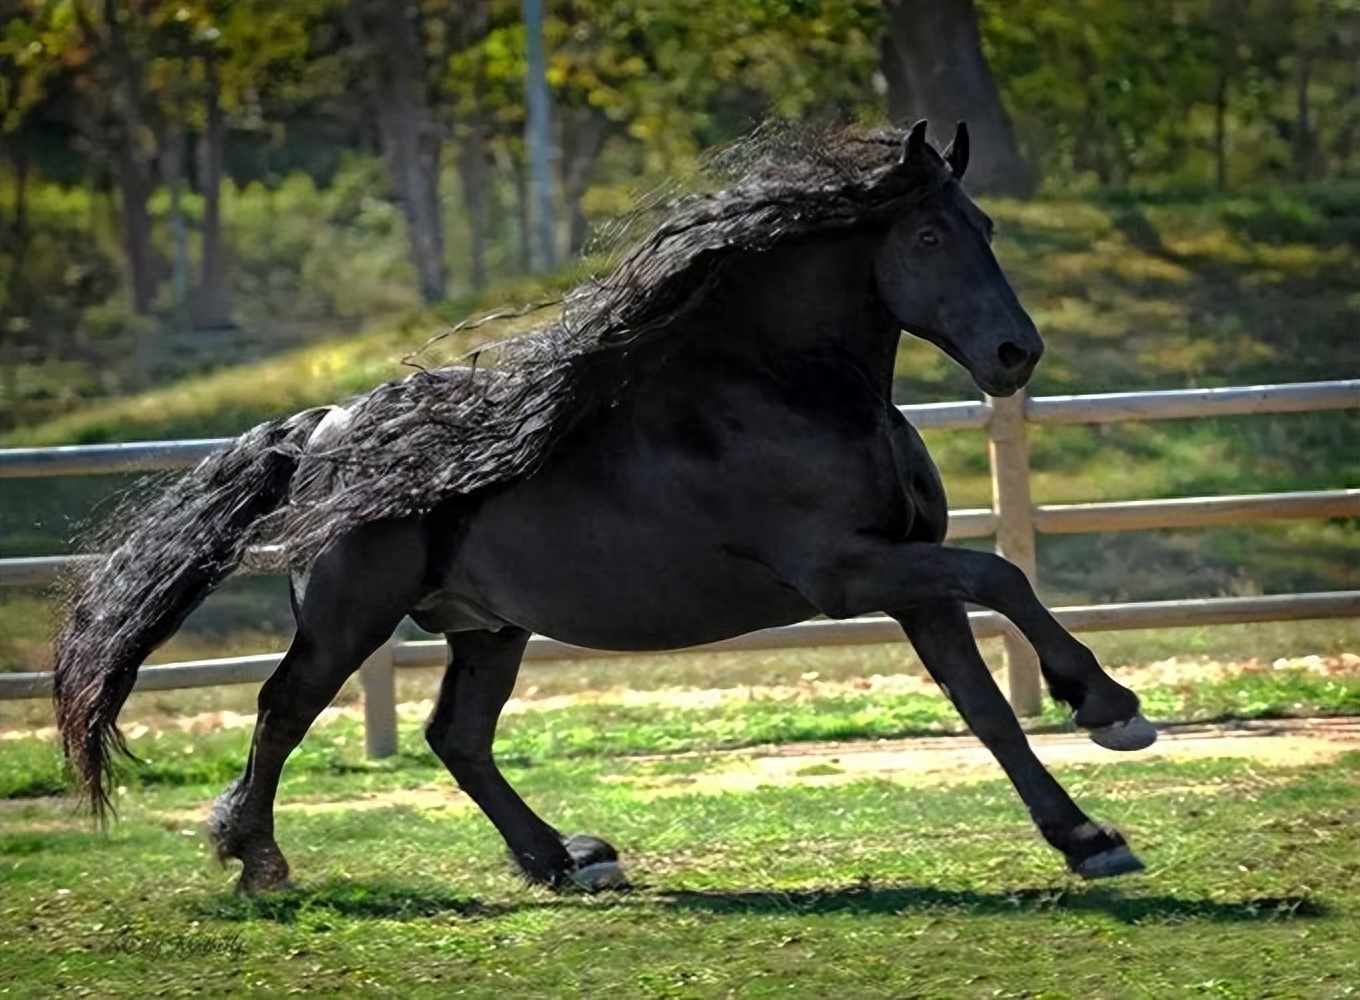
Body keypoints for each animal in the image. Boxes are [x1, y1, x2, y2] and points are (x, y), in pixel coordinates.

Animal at [58, 121, 1153, 897]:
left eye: (987, 230)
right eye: (928, 234)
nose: (1015, 355)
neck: (786, 388)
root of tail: (321, 427)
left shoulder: (906, 576)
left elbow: (983, 704)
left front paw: (1088, 837)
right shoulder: (848, 572)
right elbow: (1002, 574)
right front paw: (1108, 707)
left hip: (486, 629)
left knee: (456, 737)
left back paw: (565, 860)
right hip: (349, 617)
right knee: (284, 708)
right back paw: (257, 859)